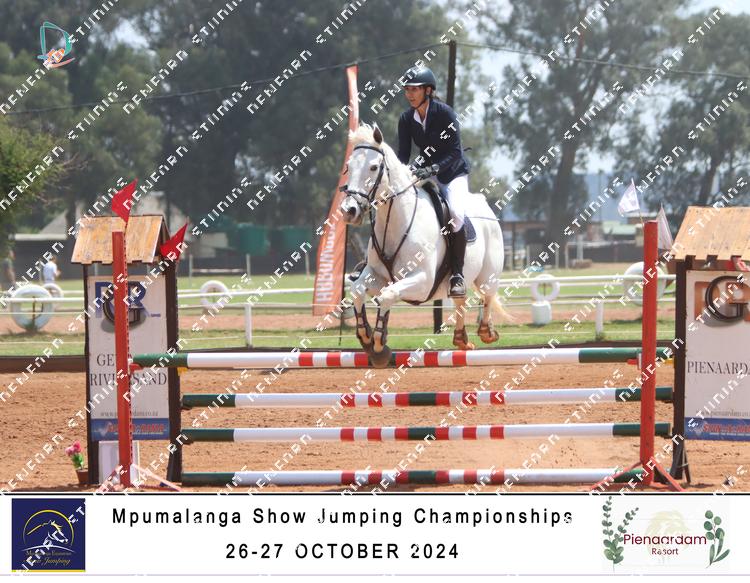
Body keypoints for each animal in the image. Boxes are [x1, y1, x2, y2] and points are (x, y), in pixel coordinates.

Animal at [340, 123, 507, 368]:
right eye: (348, 167)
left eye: (373, 167)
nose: (349, 211)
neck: (396, 222)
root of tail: (483, 204)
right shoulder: (376, 275)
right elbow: (358, 290)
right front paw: (366, 338)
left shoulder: (422, 282)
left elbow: (387, 295)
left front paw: (379, 347)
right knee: (461, 298)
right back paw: (461, 339)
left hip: (489, 273)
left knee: (487, 296)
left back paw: (487, 331)